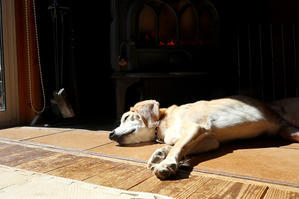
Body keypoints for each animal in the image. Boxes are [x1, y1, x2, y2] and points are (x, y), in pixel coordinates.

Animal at [109, 95, 299, 180]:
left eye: (126, 117)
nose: (110, 135)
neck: (165, 122)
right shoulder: (210, 140)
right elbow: (177, 146)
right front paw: (159, 154)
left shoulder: (195, 127)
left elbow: (177, 147)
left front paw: (166, 164)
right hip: (288, 131)